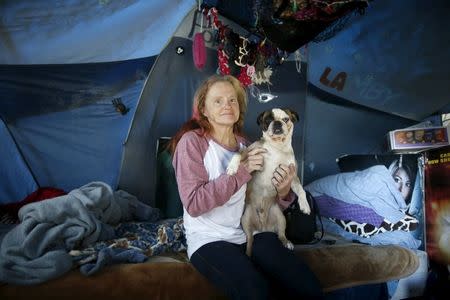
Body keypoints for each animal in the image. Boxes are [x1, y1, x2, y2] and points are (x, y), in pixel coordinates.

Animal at [227, 108, 312, 255]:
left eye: (286, 119)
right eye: (268, 120)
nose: (277, 123)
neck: (277, 146)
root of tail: (263, 227)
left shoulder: (292, 176)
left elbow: (301, 190)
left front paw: (305, 205)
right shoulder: (250, 152)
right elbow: (238, 153)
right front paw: (232, 168)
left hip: (280, 217)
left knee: (281, 234)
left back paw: (287, 243)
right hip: (245, 219)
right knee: (250, 241)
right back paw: (248, 254)